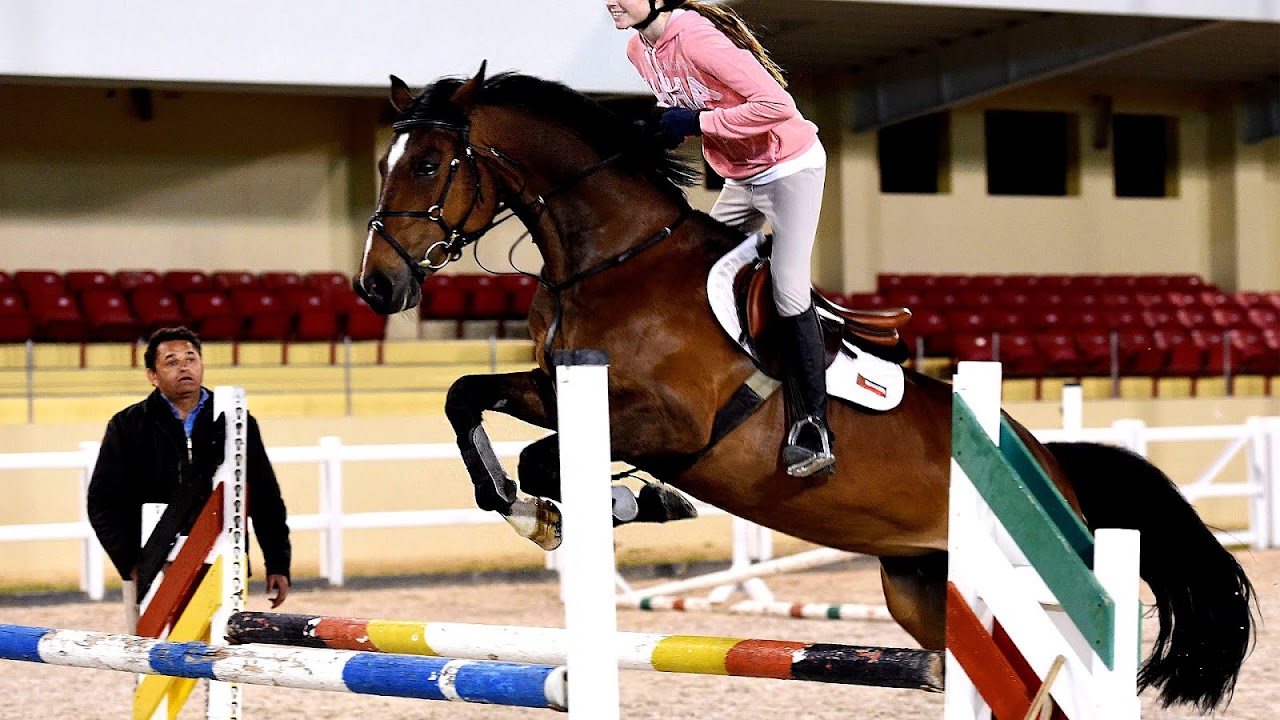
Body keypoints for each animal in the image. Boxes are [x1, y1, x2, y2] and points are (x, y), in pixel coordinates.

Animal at [352, 64, 1255, 713]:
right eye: (382, 164)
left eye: (428, 163)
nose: (375, 288)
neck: (614, 257)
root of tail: (1051, 466)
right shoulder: (553, 384)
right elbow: (464, 397)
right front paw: (527, 512)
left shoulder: (672, 424)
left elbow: (547, 459)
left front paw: (623, 503)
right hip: (922, 586)